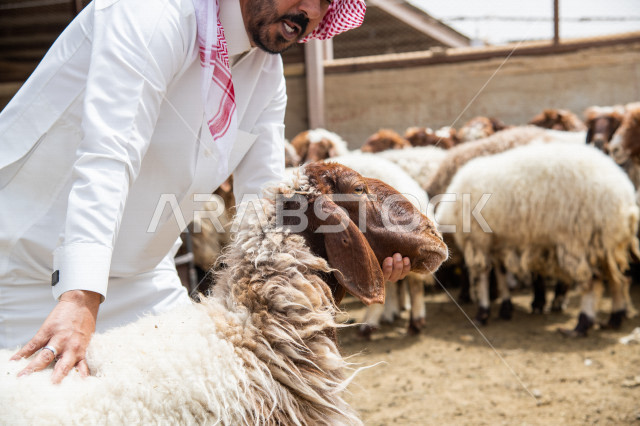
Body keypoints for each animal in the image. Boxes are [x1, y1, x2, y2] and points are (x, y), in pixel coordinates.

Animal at [435, 142, 639, 336]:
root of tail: (626, 199)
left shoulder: (478, 239)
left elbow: (482, 275)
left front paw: (482, 313)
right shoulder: (498, 241)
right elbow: (501, 273)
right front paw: (505, 308)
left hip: (579, 239)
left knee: (592, 281)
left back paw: (581, 326)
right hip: (605, 243)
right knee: (618, 279)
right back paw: (615, 318)